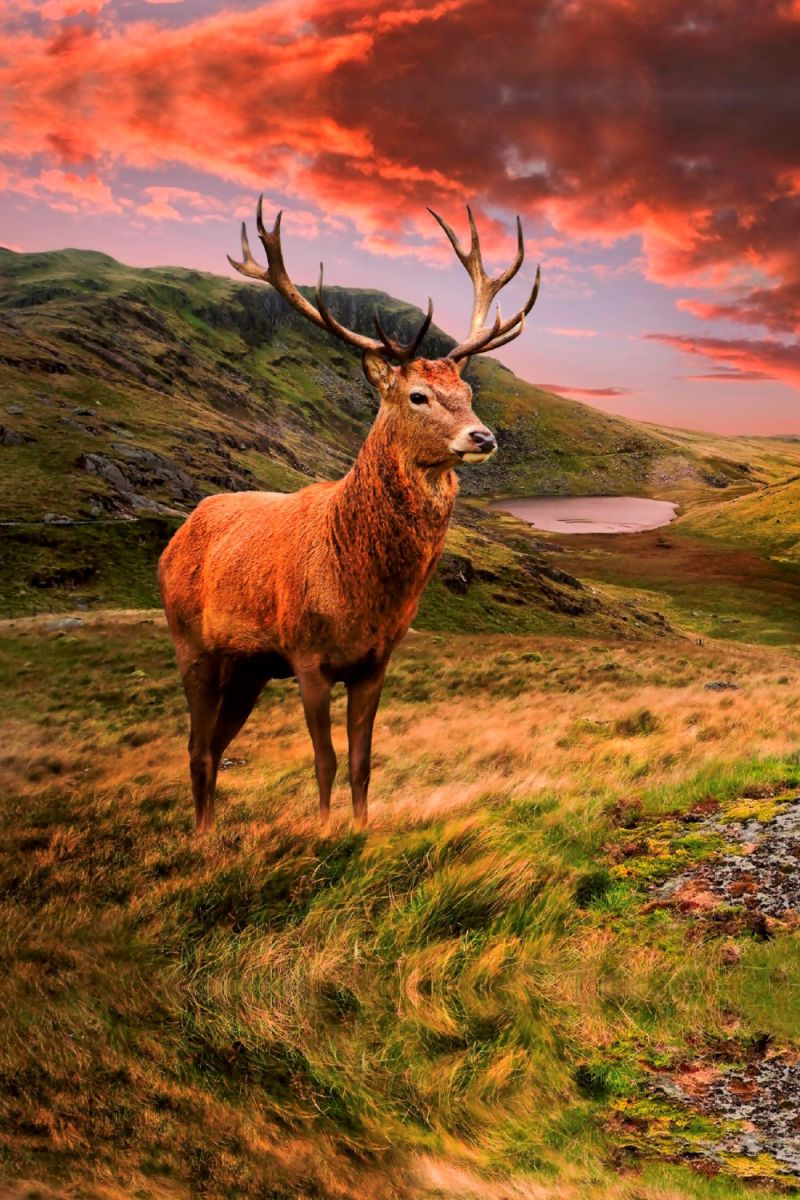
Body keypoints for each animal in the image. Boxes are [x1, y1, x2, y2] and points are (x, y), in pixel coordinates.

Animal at [159, 198, 540, 833]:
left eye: (466, 390)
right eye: (416, 396)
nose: (483, 437)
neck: (357, 589)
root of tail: (175, 538)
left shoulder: (374, 661)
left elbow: (363, 760)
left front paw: (362, 830)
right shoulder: (306, 655)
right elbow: (326, 760)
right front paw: (324, 830)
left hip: (247, 668)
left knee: (213, 744)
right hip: (193, 644)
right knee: (195, 747)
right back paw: (202, 838)